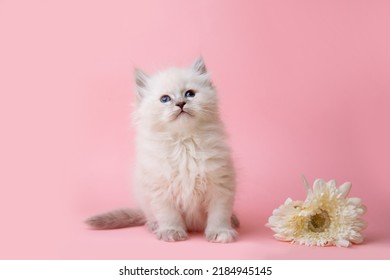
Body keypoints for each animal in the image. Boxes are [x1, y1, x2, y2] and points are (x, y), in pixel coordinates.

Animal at [86, 57, 238, 243]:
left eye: (190, 94)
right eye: (165, 99)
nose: (180, 103)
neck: (184, 143)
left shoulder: (220, 186)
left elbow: (219, 215)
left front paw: (220, 232)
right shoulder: (161, 189)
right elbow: (169, 215)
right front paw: (171, 232)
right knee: (150, 216)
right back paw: (154, 226)